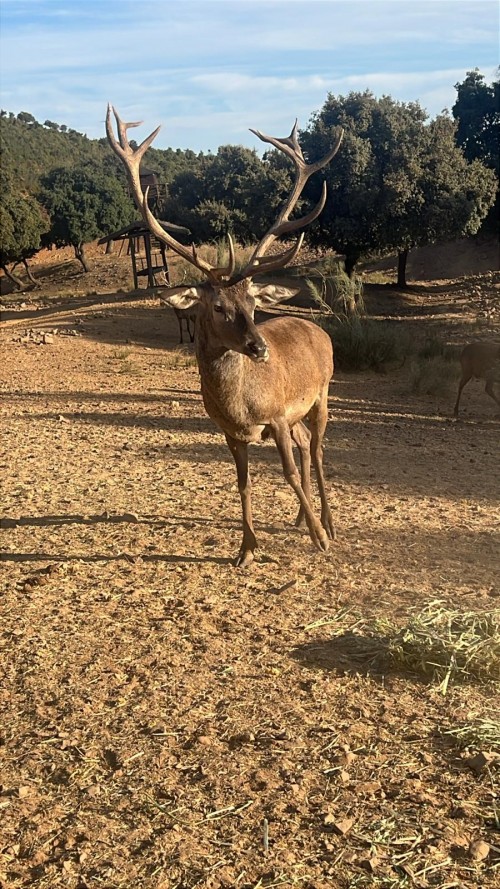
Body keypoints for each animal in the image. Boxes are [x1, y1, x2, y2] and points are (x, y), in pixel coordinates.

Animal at [106, 105, 343, 567]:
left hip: (321, 392)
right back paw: (299, 520)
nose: (259, 347)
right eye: (217, 306)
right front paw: (247, 548)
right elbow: (242, 483)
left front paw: (320, 539)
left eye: (252, 304)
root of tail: (318, 329)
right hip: (297, 415)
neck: (240, 406)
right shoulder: (231, 433)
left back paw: (325, 522)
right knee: (308, 443)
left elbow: (287, 472)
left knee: (319, 449)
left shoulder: (275, 415)